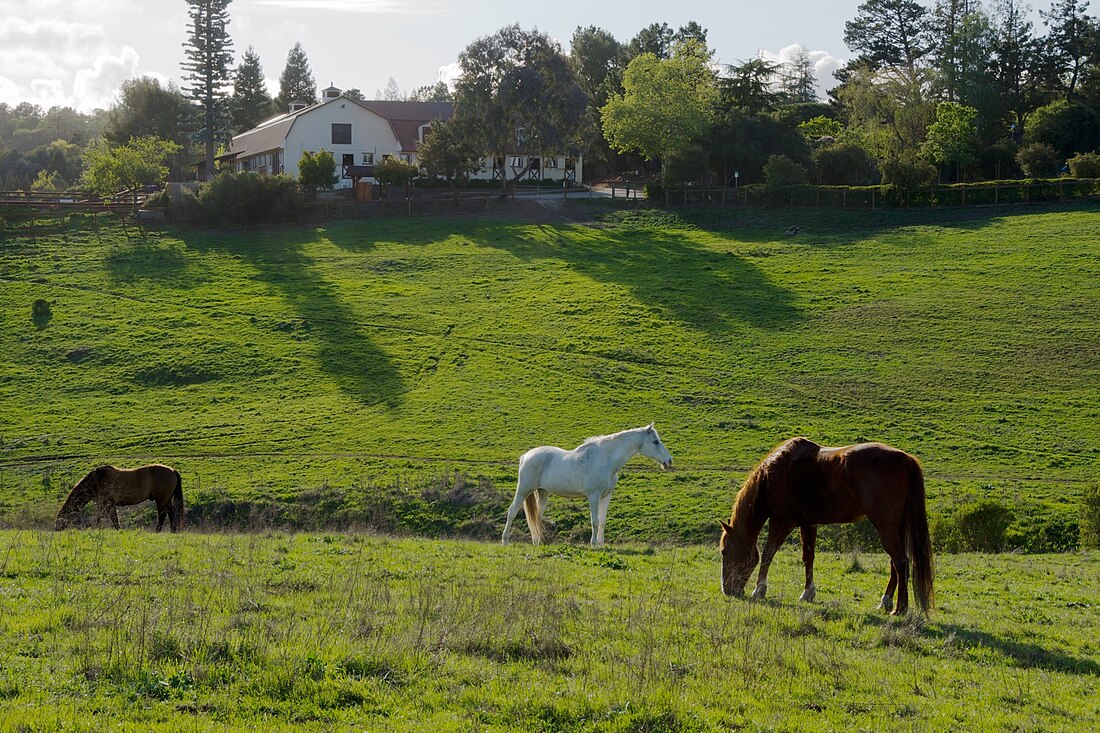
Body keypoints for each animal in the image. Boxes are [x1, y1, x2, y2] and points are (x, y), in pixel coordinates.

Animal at [54, 462, 183, 530]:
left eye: (60, 520)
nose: (56, 529)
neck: (96, 480)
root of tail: (172, 470)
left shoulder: (106, 503)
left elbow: (104, 517)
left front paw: (99, 529)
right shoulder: (108, 504)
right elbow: (112, 518)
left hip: (161, 500)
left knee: (162, 515)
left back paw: (158, 531)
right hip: (167, 500)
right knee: (172, 513)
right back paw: (173, 530)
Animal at [503, 422, 673, 541]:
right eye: (655, 442)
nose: (669, 461)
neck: (605, 460)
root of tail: (525, 456)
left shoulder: (606, 496)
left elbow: (602, 521)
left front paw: (601, 544)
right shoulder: (593, 496)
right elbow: (594, 521)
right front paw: (593, 543)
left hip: (543, 492)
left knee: (537, 517)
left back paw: (538, 542)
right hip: (523, 490)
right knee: (512, 512)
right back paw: (505, 541)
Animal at [717, 435, 932, 611]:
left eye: (725, 552)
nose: (727, 590)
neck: (774, 476)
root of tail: (904, 459)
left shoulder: (781, 522)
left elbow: (768, 553)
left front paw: (759, 589)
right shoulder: (808, 523)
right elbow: (808, 557)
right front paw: (808, 593)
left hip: (886, 528)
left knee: (901, 561)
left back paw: (900, 608)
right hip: (898, 528)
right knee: (894, 562)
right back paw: (885, 602)